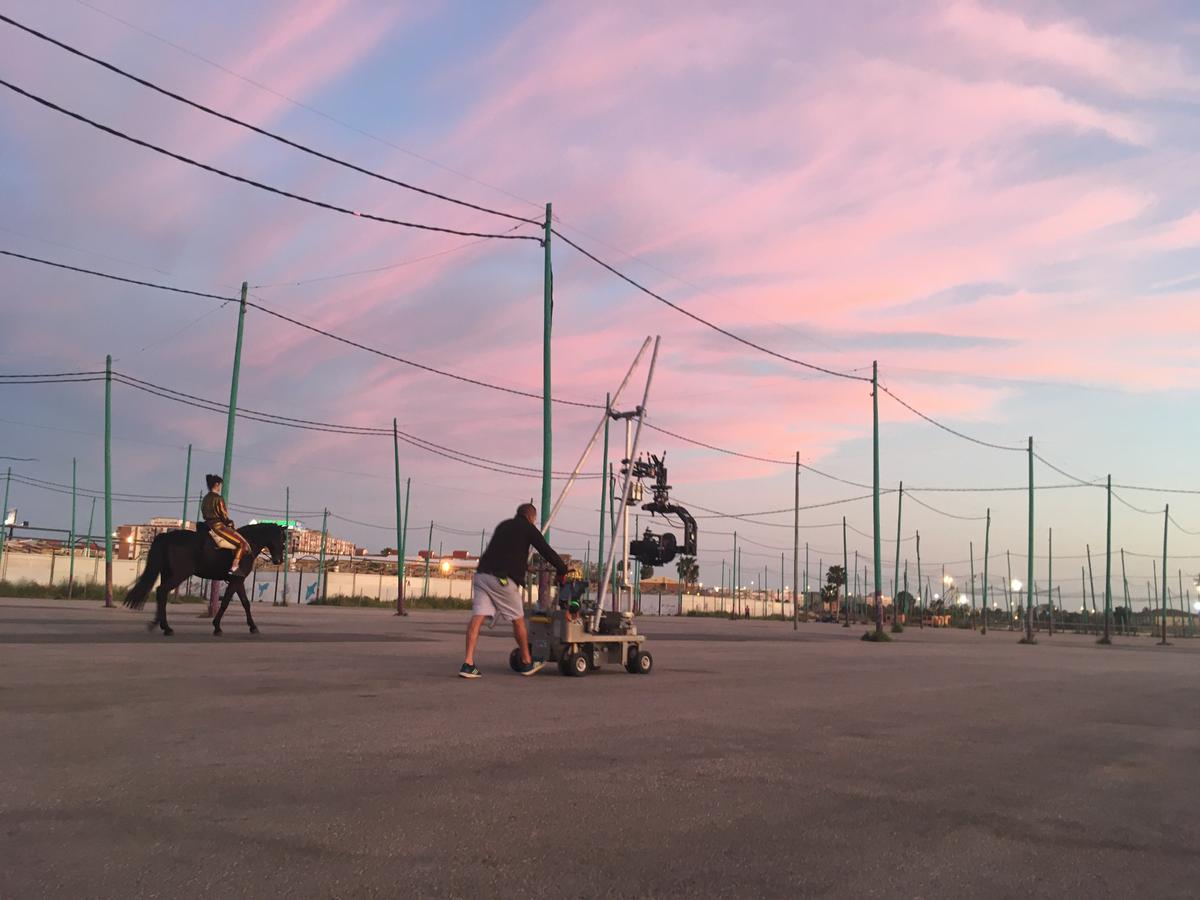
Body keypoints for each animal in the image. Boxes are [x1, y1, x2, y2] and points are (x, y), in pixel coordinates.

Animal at [123, 525, 285, 638]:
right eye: (282, 540)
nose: (278, 560)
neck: (247, 544)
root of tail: (167, 536)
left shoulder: (237, 581)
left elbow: (245, 603)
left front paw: (252, 626)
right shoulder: (236, 580)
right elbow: (226, 602)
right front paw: (217, 627)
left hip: (167, 573)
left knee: (161, 594)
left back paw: (158, 624)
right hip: (180, 574)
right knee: (162, 591)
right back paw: (166, 628)